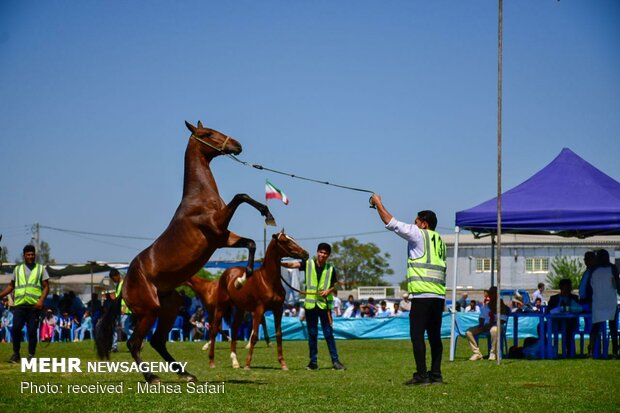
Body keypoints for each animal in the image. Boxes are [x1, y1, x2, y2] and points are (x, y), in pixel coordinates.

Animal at [95, 120, 274, 384]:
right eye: (207, 133)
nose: (237, 145)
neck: (198, 198)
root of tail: (124, 287)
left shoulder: (223, 238)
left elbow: (250, 243)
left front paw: (243, 278)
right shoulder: (217, 226)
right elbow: (240, 196)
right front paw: (267, 213)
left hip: (169, 307)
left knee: (157, 341)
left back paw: (186, 374)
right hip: (149, 311)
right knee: (134, 342)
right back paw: (152, 377)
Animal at [208, 230, 308, 368]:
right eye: (285, 241)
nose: (305, 254)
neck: (268, 280)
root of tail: (227, 273)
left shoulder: (278, 309)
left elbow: (279, 335)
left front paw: (283, 363)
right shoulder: (259, 310)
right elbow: (254, 336)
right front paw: (247, 364)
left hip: (240, 309)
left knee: (234, 328)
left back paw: (235, 361)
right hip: (222, 306)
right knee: (213, 329)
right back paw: (212, 361)